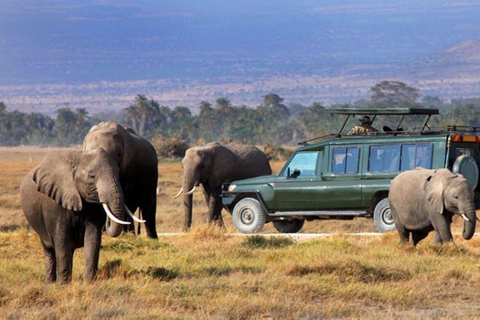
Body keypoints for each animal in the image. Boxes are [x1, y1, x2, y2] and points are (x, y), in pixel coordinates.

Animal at [21, 149, 140, 282]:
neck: (78, 158)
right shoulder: (55, 204)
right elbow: (62, 240)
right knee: (49, 250)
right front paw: (63, 284)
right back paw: (50, 282)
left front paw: (88, 282)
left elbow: (93, 238)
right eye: (92, 176)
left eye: (118, 174)